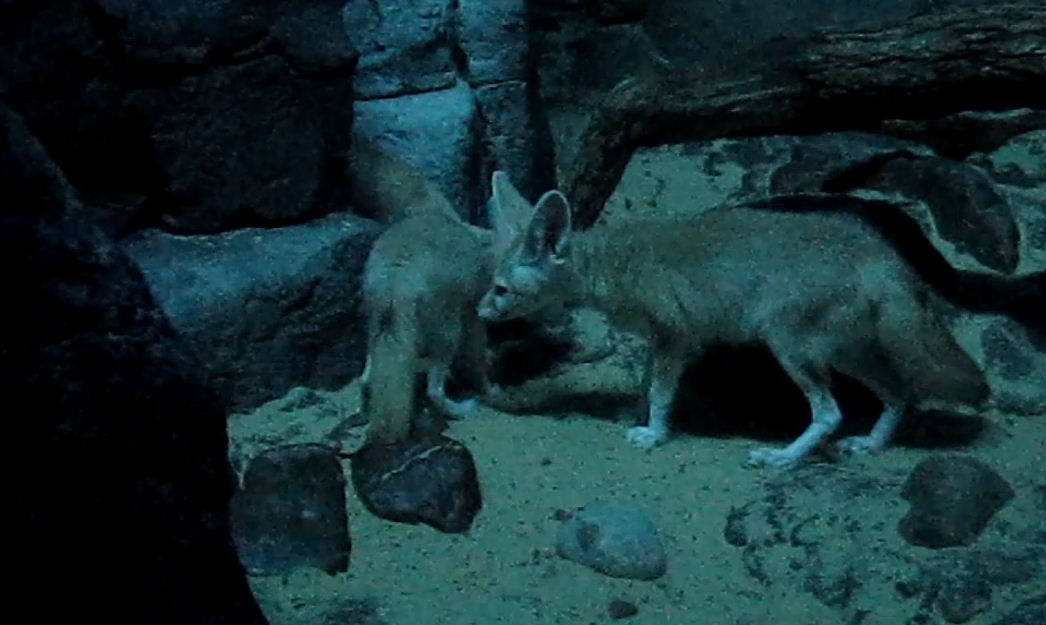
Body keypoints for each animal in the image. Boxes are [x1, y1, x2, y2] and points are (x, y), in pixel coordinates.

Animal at [353, 140, 514, 445]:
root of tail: (397, 282)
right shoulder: (473, 317)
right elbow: (477, 361)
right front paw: (492, 387)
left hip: (375, 323)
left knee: (366, 377)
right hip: (449, 332)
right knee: (434, 389)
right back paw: (463, 408)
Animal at [476, 179, 991, 467]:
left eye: (500, 289)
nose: (480, 312)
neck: (611, 263)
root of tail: (884, 257)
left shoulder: (674, 337)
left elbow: (660, 392)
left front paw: (654, 433)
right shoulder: (663, 341)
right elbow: (646, 384)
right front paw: (636, 413)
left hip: (790, 348)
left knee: (831, 413)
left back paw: (782, 458)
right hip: (846, 353)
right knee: (900, 392)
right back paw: (872, 445)